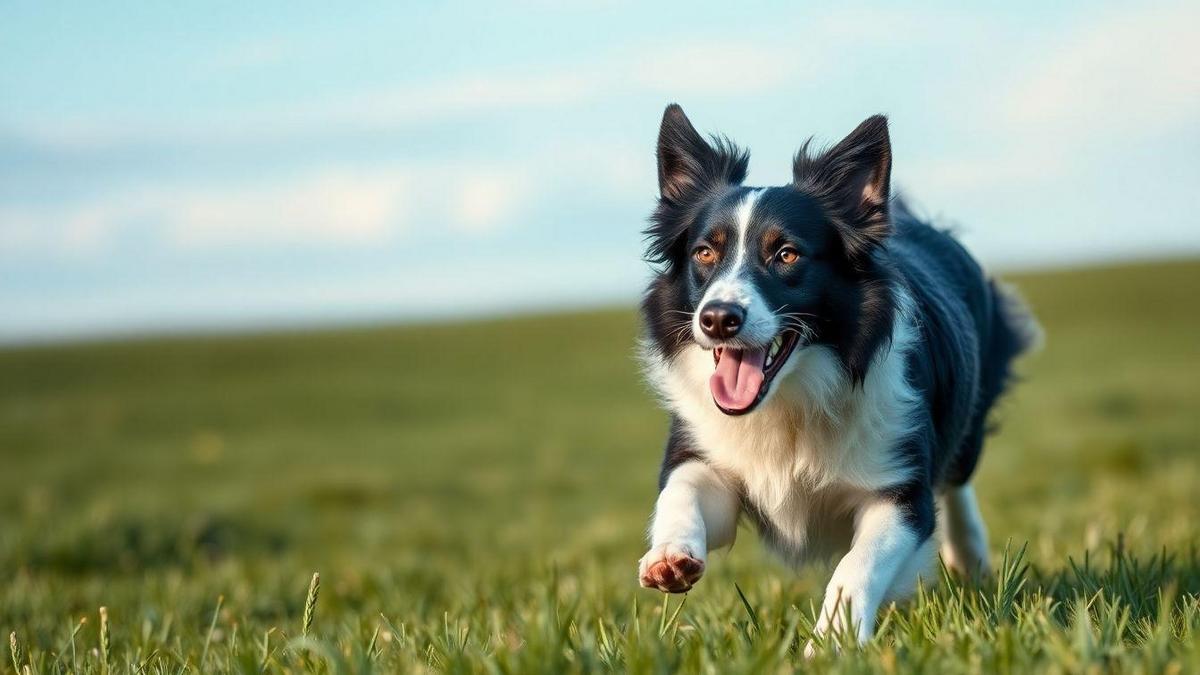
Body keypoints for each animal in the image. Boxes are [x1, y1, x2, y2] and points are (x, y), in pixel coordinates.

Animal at [638, 105, 1041, 648]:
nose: (718, 318)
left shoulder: (899, 484)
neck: (790, 401)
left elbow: (858, 565)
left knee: (958, 478)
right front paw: (668, 557)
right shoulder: (710, 452)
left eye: (786, 254)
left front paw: (831, 645)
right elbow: (681, 490)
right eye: (705, 253)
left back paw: (969, 559)